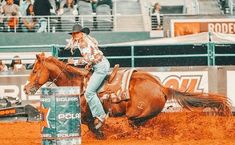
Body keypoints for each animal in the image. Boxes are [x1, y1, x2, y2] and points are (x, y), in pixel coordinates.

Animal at [23, 52, 231, 139]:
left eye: (34, 70)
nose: (25, 89)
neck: (78, 85)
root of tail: (162, 87)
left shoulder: (86, 116)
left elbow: (93, 126)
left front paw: (102, 134)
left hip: (135, 116)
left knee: (133, 127)